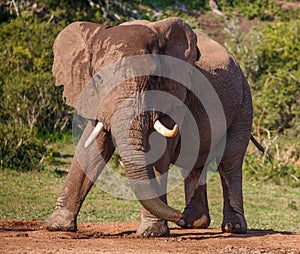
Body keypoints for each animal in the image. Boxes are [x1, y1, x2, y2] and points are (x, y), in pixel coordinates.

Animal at [45, 17, 255, 236]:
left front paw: (152, 232)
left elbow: (159, 151)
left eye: (153, 78)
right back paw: (191, 223)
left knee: (230, 162)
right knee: (194, 162)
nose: (176, 214)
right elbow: (90, 151)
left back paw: (232, 227)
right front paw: (57, 225)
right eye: (99, 79)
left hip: (244, 104)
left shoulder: (173, 95)